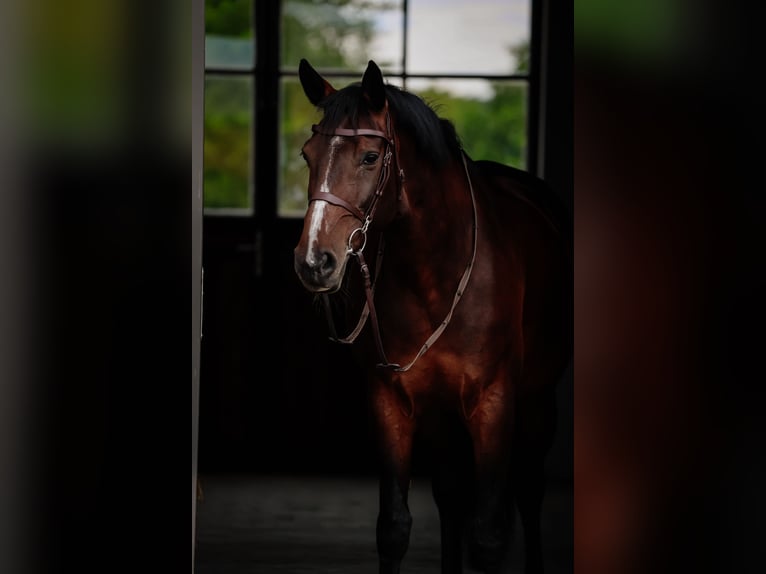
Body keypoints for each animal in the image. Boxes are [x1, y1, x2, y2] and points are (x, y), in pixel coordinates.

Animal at [293, 59, 572, 574]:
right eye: (307, 155)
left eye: (369, 158)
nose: (314, 261)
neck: (436, 271)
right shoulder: (391, 402)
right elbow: (394, 528)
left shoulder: (493, 404)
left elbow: (488, 535)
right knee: (450, 495)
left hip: (538, 401)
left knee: (528, 490)